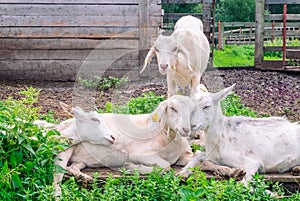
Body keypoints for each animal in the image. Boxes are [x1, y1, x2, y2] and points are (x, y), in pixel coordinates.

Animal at [54, 95, 195, 196]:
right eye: (172, 108)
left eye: (191, 111)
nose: (186, 129)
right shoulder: (140, 154)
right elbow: (165, 166)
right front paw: (130, 167)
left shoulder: (184, 155)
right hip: (64, 147)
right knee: (58, 173)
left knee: (71, 167)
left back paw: (83, 177)